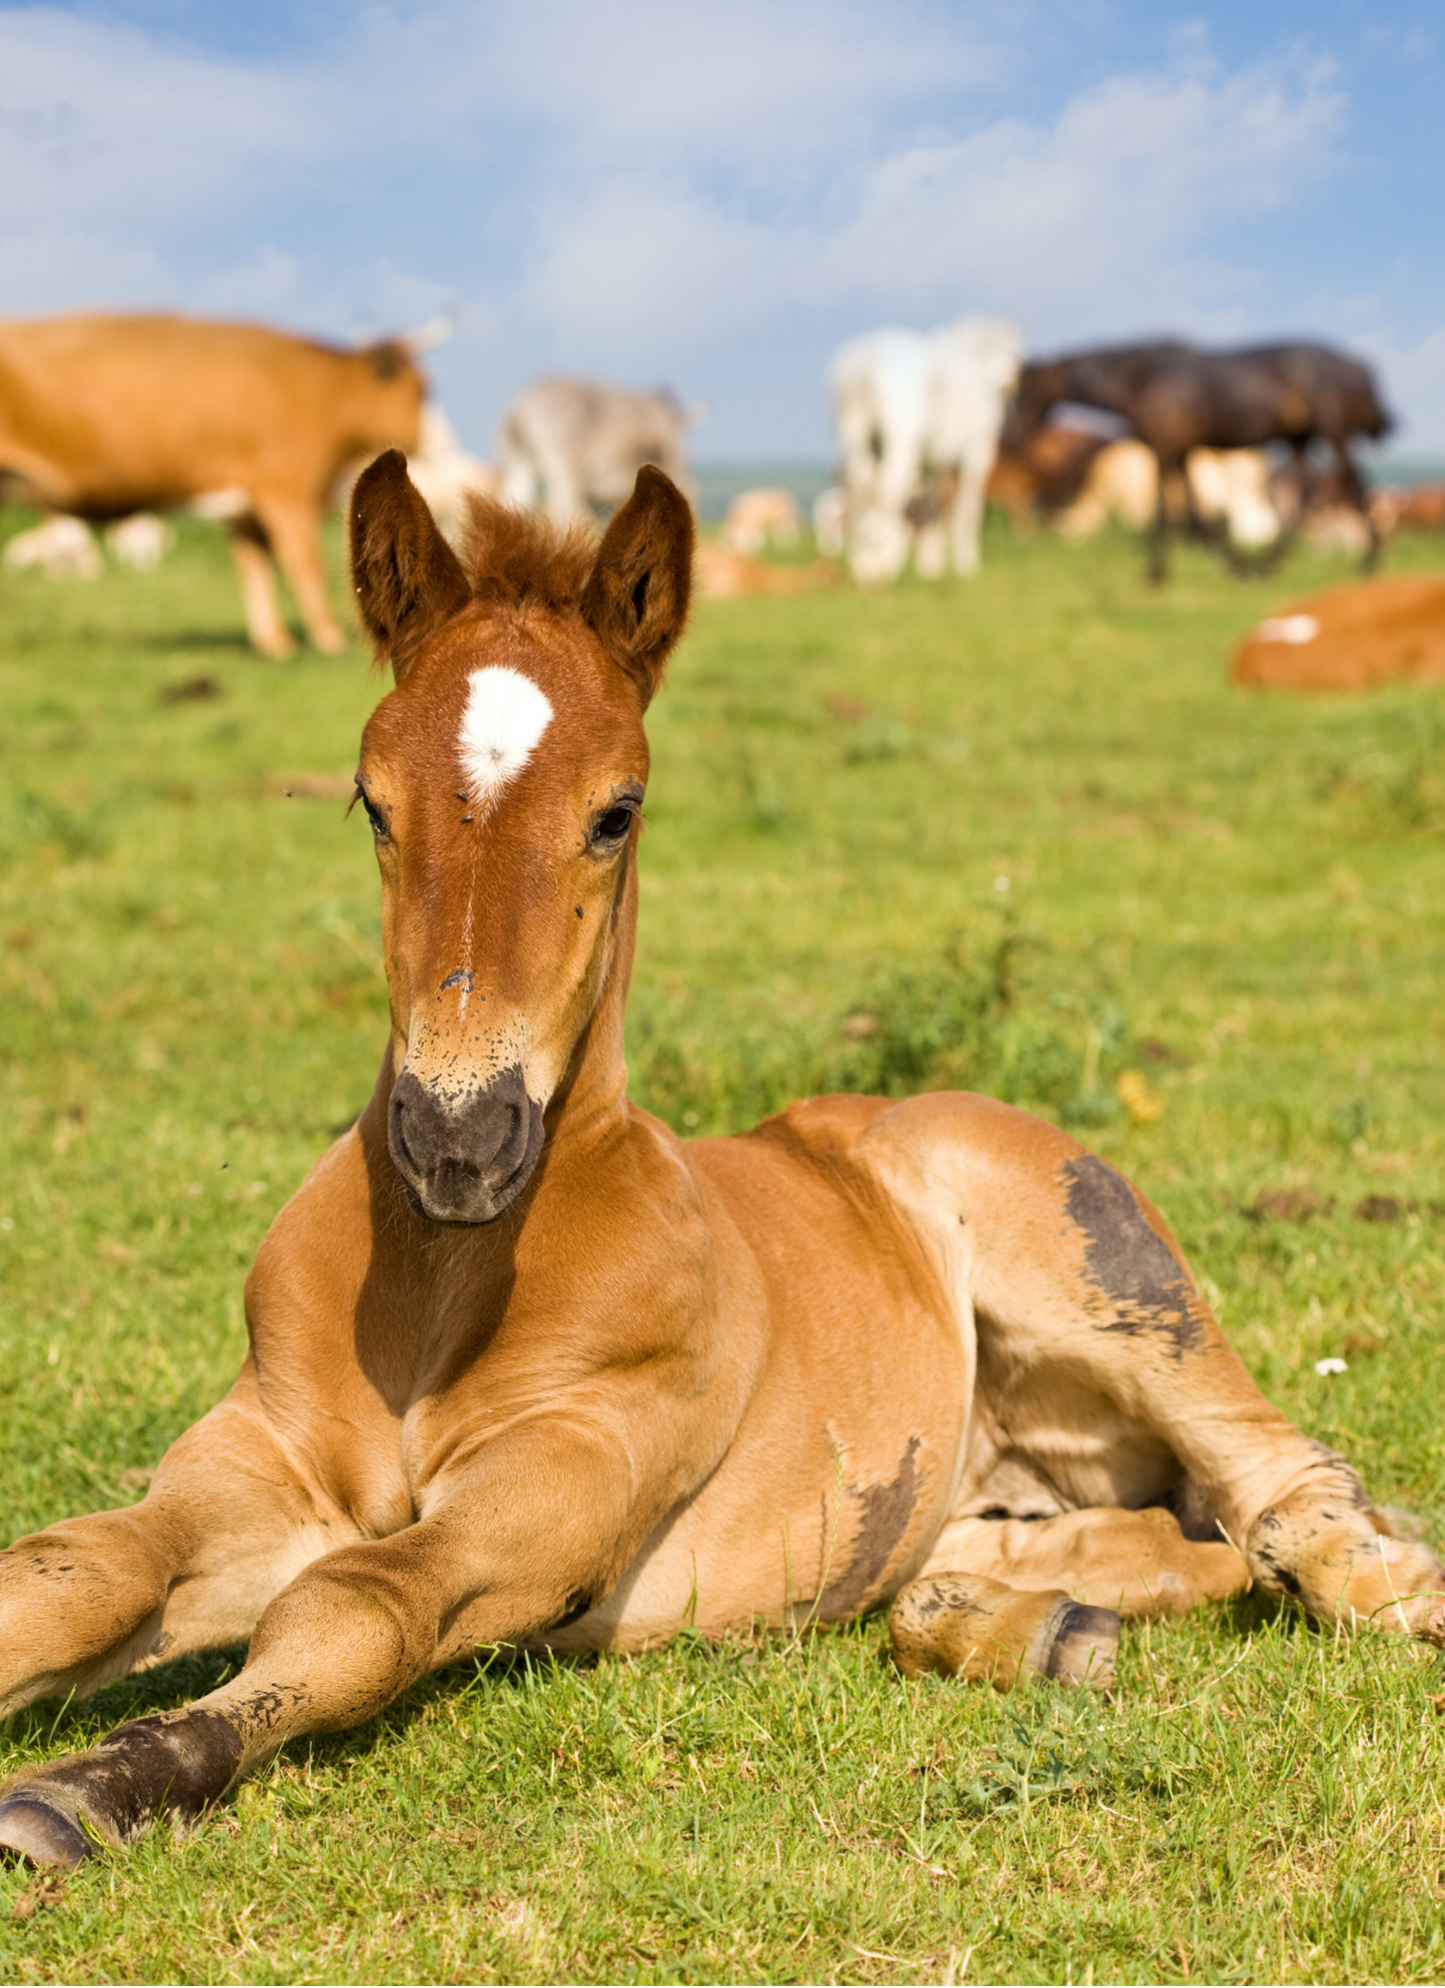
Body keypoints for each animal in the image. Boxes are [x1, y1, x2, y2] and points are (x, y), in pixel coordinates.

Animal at [0, 458, 1440, 1872]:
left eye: (616, 811)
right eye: (370, 802)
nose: (458, 1140)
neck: (444, 1284)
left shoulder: (566, 1479)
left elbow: (352, 1604)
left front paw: (83, 1789)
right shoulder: (259, 1459)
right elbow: (69, 1572)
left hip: (1108, 1275)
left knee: (1280, 1487)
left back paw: (1381, 1584)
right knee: (1149, 1540)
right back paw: (1036, 1626)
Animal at [1009, 340, 1392, 581]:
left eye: (1027, 391)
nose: (1010, 438)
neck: (1141, 379)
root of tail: (1357, 367)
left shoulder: (1165, 450)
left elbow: (1169, 511)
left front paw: (1158, 574)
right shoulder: (1180, 453)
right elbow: (1194, 514)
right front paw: (1235, 566)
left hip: (1333, 433)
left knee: (1354, 485)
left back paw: (1369, 564)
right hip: (1299, 438)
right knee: (1304, 495)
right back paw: (1268, 566)